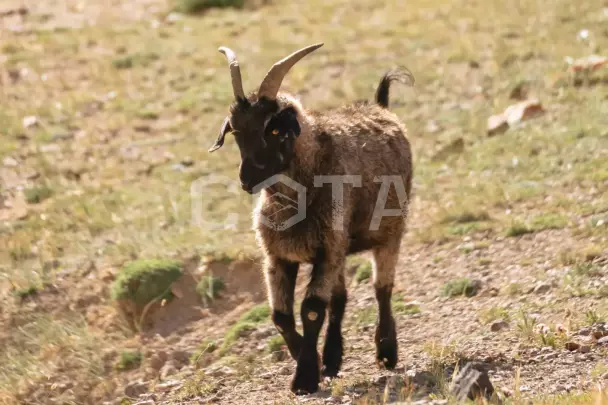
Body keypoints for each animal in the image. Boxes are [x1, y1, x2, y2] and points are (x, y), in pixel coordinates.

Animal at [209, 42, 414, 392]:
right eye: (236, 132)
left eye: (274, 128)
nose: (247, 180)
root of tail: (381, 107)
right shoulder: (280, 256)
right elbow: (281, 316)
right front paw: (313, 362)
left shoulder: (326, 250)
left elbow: (312, 311)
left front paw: (305, 376)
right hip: (339, 249)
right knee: (341, 298)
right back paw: (332, 359)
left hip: (388, 230)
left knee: (382, 288)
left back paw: (386, 351)